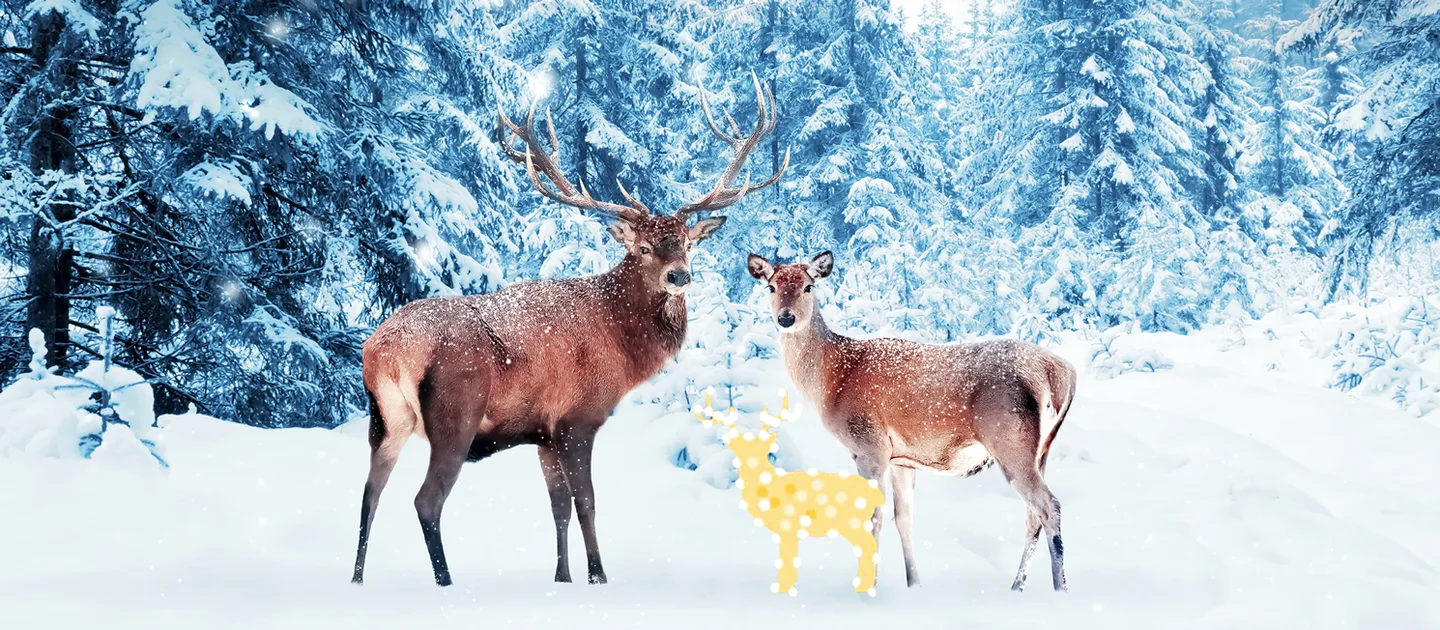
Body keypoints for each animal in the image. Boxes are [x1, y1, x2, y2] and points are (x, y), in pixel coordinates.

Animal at [351, 74, 788, 587]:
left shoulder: (543, 433)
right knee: (425, 501)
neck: (622, 347)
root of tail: (384, 350)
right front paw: (598, 576)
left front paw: (561, 578)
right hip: (455, 415)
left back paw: (357, 579)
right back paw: (446, 582)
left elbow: (557, 506)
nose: (679, 275)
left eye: (686, 243)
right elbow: (587, 504)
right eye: (642, 248)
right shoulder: (578, 420)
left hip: (385, 421)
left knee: (368, 493)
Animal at [745, 251, 1078, 592]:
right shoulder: (901, 460)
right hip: (1041, 450)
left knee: (1049, 506)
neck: (831, 380)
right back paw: (1017, 587)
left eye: (808, 286)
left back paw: (1060, 588)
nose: (786, 318)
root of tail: (1062, 372)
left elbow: (874, 518)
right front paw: (913, 584)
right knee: (1032, 516)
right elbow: (903, 519)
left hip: (1010, 440)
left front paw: (867, 586)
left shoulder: (869, 446)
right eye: (771, 287)